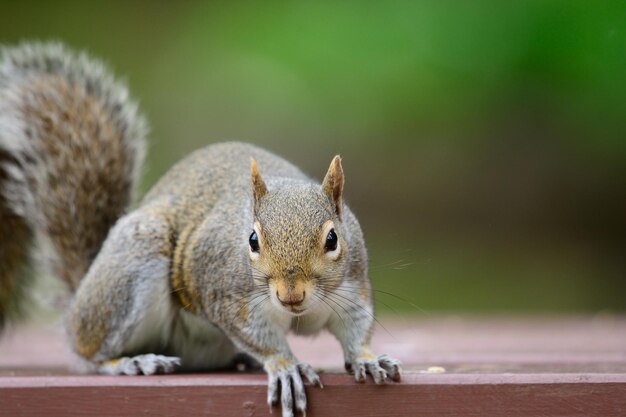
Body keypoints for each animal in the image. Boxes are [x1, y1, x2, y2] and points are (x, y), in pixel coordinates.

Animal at [0, 42, 400, 416]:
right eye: (252, 240)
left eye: (333, 239)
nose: (290, 295)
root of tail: (79, 297)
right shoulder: (227, 296)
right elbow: (260, 337)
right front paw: (286, 365)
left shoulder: (353, 285)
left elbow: (355, 327)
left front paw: (367, 358)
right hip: (132, 263)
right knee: (89, 352)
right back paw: (130, 361)